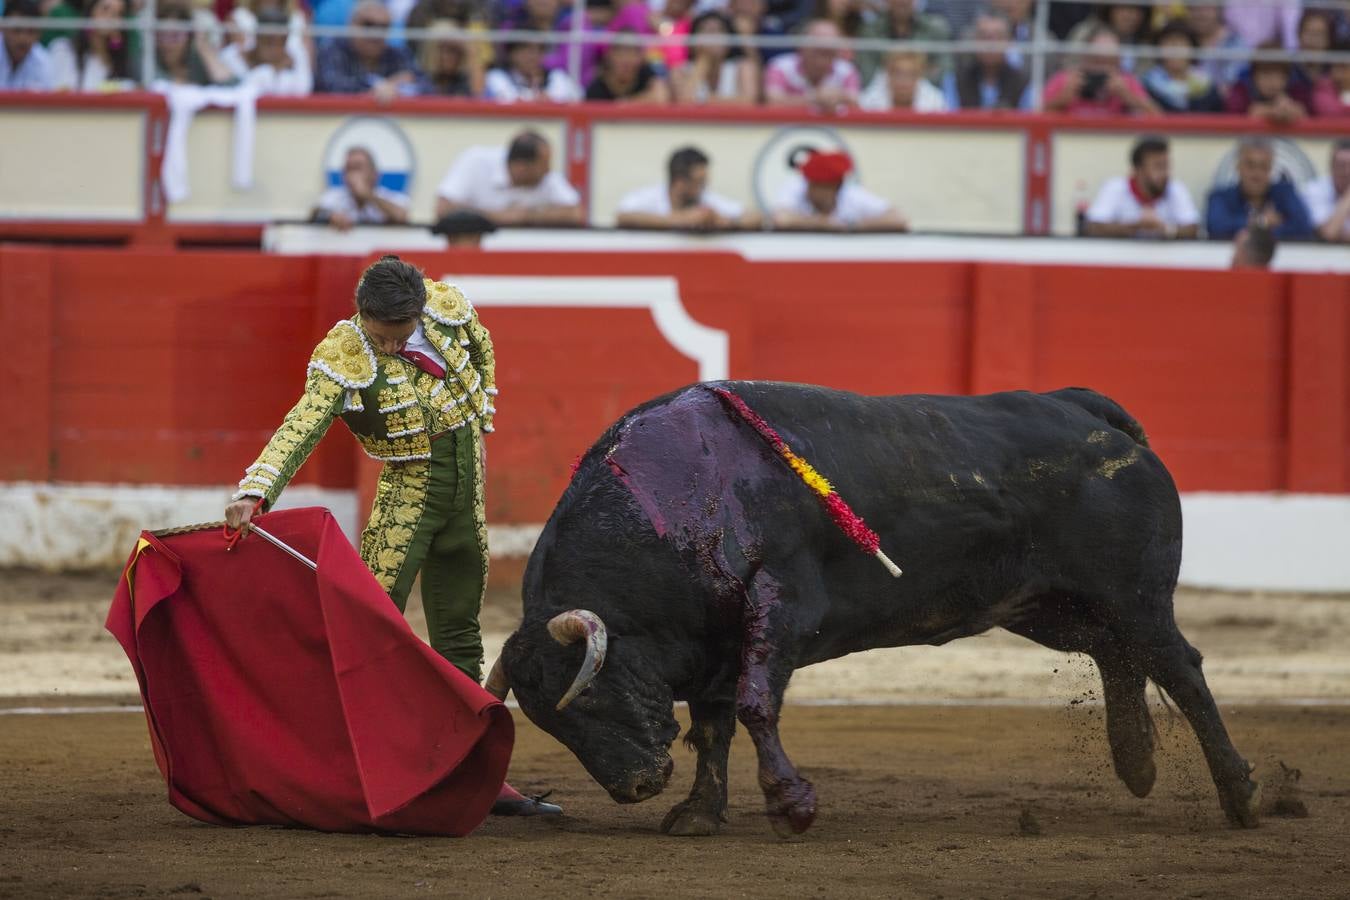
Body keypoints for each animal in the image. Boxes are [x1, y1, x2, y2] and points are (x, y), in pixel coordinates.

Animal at [491, 380, 1258, 836]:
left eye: (587, 697)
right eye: (547, 721)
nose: (636, 787)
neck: (676, 498)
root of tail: (1088, 411)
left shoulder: (780, 607)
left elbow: (755, 706)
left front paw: (793, 805)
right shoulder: (714, 642)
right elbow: (713, 727)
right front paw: (698, 814)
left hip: (1135, 596)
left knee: (1180, 669)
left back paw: (1240, 795)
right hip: (1047, 606)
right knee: (1116, 655)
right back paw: (1137, 762)